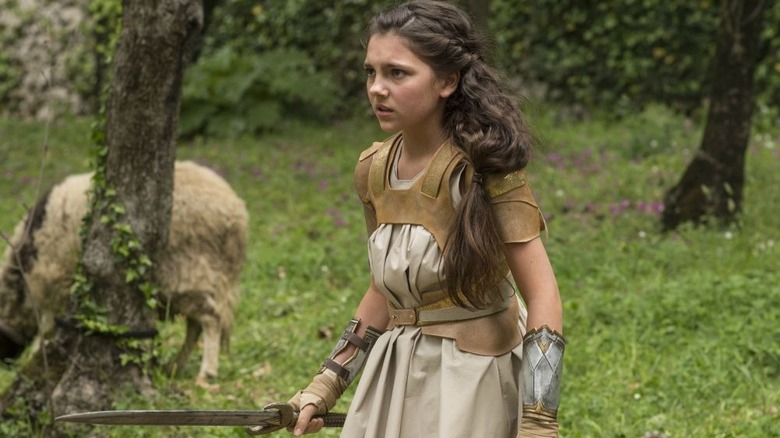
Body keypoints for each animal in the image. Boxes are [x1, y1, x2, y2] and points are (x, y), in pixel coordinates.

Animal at [0, 159, 247, 384]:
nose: (6, 365)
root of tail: (236, 214)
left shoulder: (53, 286)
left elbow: (47, 328)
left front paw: (36, 357)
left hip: (191, 273)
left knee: (211, 319)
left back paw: (207, 372)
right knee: (195, 324)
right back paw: (175, 367)